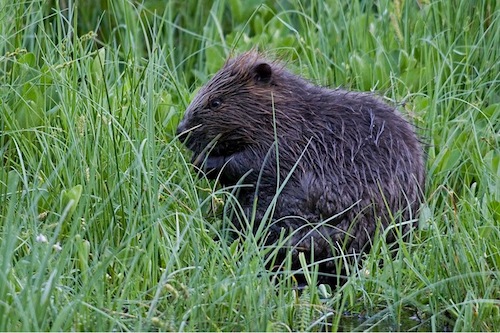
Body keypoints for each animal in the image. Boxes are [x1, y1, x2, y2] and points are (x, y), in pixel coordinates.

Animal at [178, 50, 424, 284]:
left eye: (216, 102)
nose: (180, 132)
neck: (291, 113)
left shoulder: (288, 142)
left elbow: (252, 164)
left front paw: (201, 162)